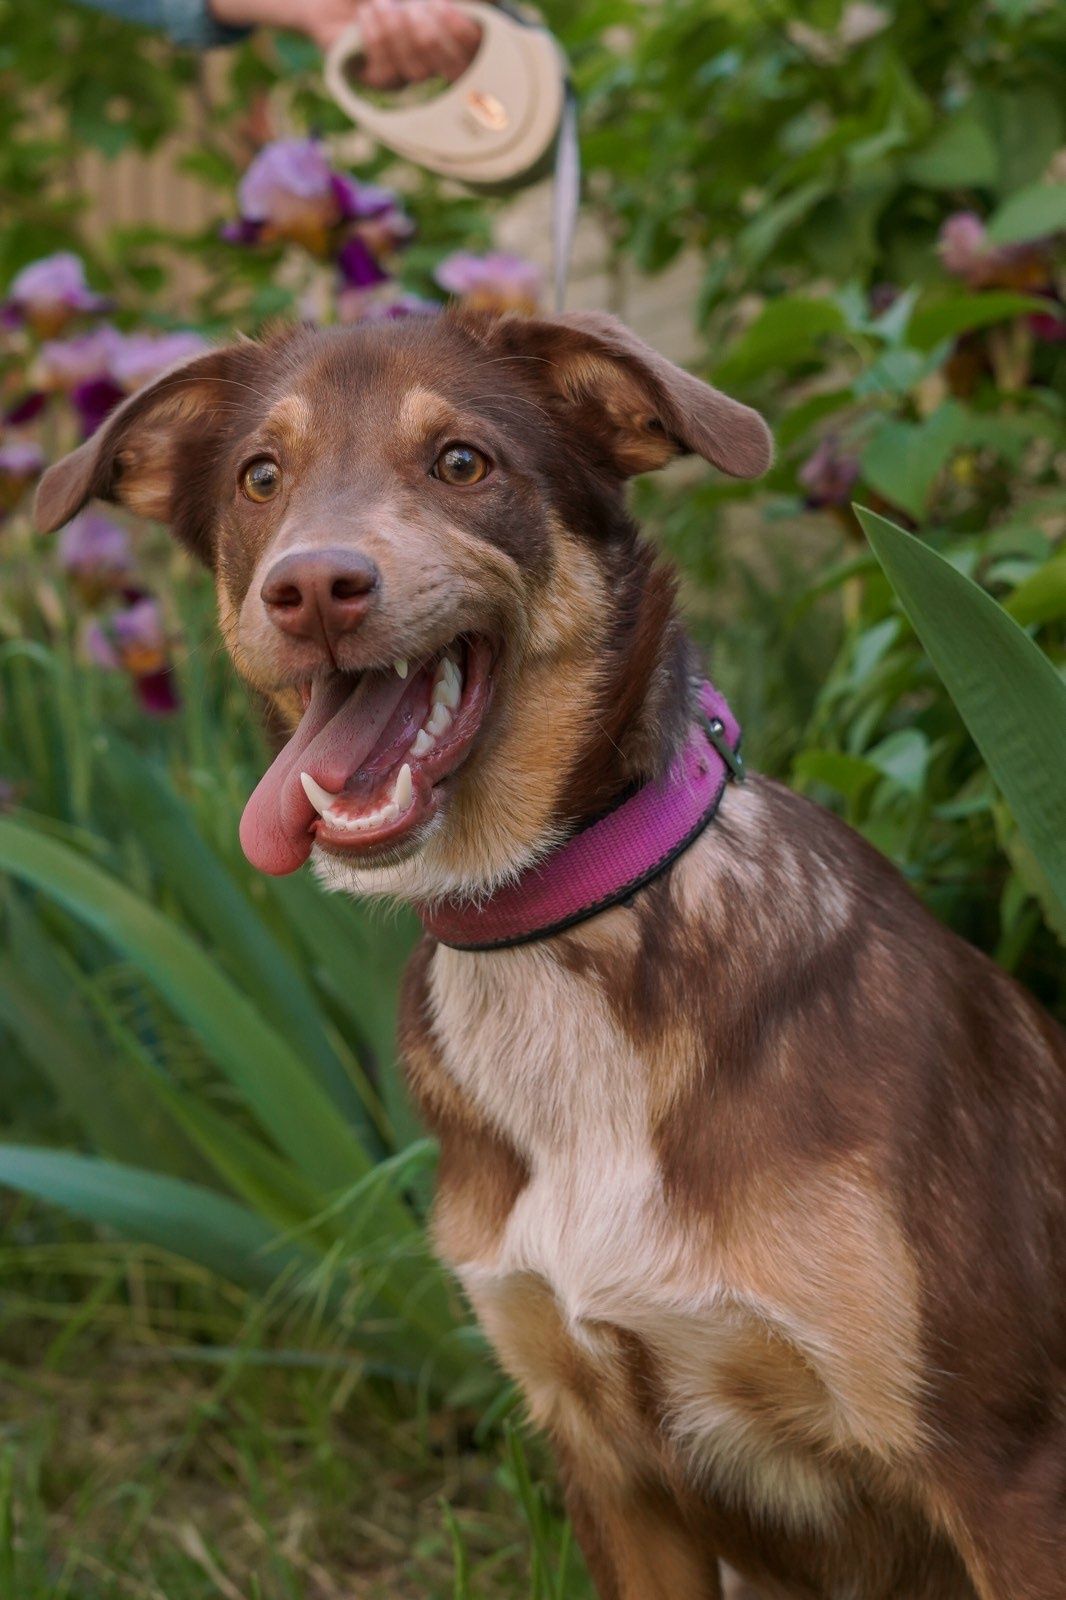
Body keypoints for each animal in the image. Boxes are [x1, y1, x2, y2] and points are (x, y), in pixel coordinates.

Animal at [33, 312, 1062, 1600]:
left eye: (462, 462)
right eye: (259, 478)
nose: (312, 588)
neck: (554, 930)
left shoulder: (999, 1460)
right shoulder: (605, 1462)